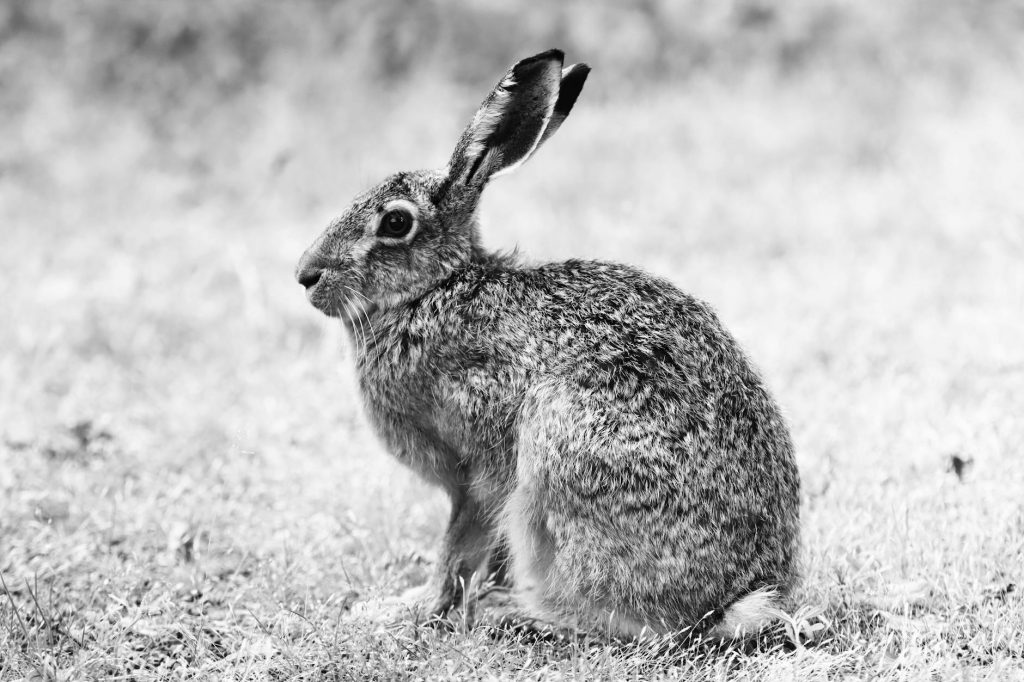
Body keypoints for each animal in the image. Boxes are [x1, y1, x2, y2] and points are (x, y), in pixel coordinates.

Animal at [295, 49, 801, 640]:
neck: (435, 290)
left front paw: (410, 607)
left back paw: (523, 615)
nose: (306, 276)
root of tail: (731, 603)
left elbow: (458, 546)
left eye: (396, 222)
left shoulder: (478, 466)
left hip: (557, 459)